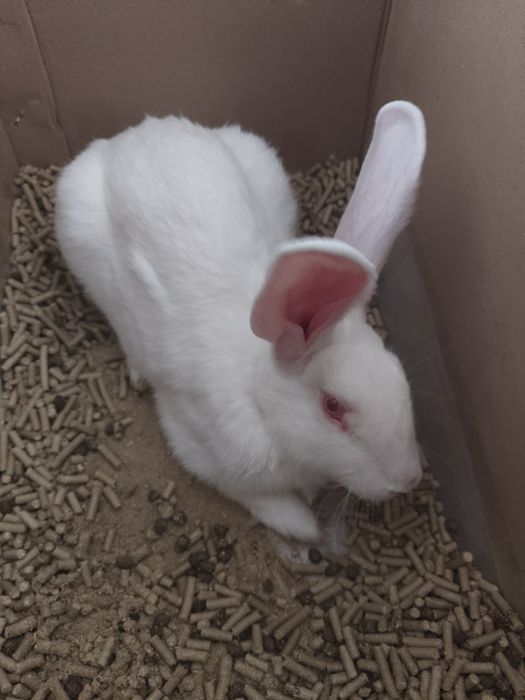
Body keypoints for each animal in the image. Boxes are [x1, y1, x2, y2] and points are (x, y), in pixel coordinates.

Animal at [55, 101, 426, 543]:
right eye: (333, 406)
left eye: (398, 372)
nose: (407, 479)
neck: (259, 395)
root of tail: (138, 132)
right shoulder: (202, 451)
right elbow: (259, 498)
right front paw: (303, 525)